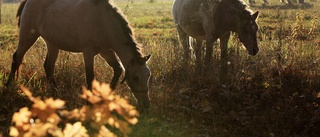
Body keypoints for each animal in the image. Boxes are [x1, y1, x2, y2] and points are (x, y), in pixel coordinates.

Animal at [5, 0, 151, 109]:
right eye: (136, 77)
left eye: (148, 76)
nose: (146, 105)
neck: (103, 21)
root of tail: (28, 2)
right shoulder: (88, 52)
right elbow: (90, 77)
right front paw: (90, 103)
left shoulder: (106, 51)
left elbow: (118, 69)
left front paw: (104, 97)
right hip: (28, 36)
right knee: (16, 59)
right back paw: (8, 86)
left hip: (52, 44)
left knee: (48, 66)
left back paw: (56, 95)